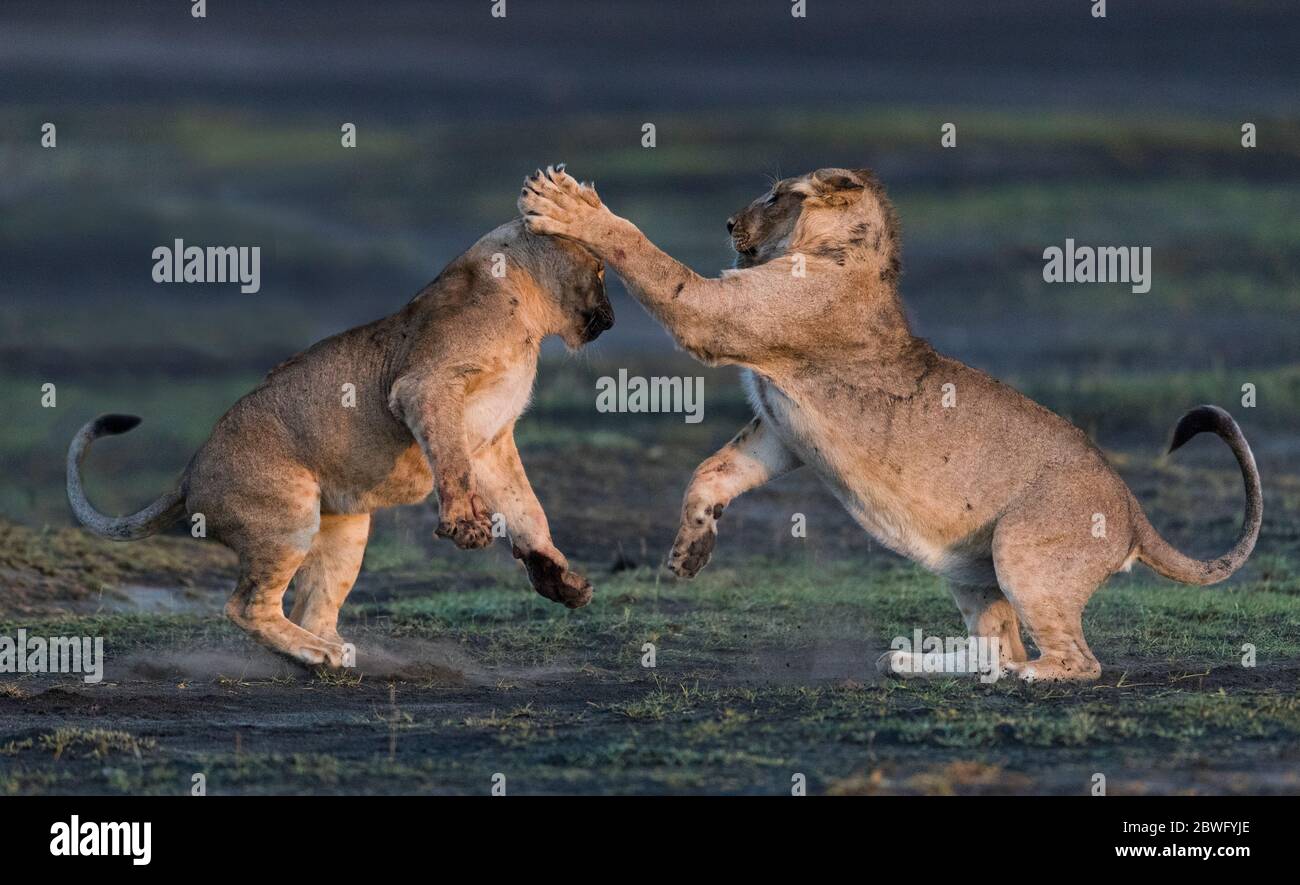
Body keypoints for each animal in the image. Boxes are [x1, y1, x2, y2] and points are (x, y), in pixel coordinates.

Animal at [69, 217, 613, 665]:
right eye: (603, 271)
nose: (610, 320)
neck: (529, 319)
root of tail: (188, 474)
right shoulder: (425, 388)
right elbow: (455, 468)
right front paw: (466, 524)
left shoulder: (491, 440)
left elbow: (527, 507)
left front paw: (558, 578)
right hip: (287, 518)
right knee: (246, 606)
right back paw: (317, 654)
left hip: (347, 528)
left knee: (311, 607)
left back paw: (331, 649)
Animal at [517, 165, 1258, 680]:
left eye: (778, 195)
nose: (728, 223)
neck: (842, 254)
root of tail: (1134, 510)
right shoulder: (779, 430)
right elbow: (713, 470)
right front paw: (689, 552)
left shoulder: (713, 315)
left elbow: (648, 256)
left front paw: (573, 207)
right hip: (973, 570)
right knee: (998, 644)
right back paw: (914, 661)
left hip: (1022, 548)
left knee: (1077, 660)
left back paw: (1027, 675)